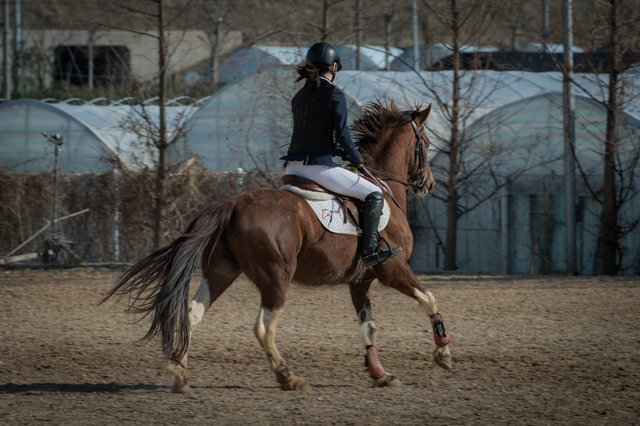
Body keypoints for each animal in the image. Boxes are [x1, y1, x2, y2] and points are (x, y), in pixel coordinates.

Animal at [102, 100, 452, 392]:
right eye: (426, 143)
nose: (429, 183)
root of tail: (233, 203)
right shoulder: (393, 269)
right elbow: (430, 299)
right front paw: (443, 352)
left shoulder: (360, 281)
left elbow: (368, 326)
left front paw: (380, 374)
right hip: (275, 278)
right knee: (263, 328)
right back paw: (288, 377)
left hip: (221, 273)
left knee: (192, 313)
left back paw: (179, 372)